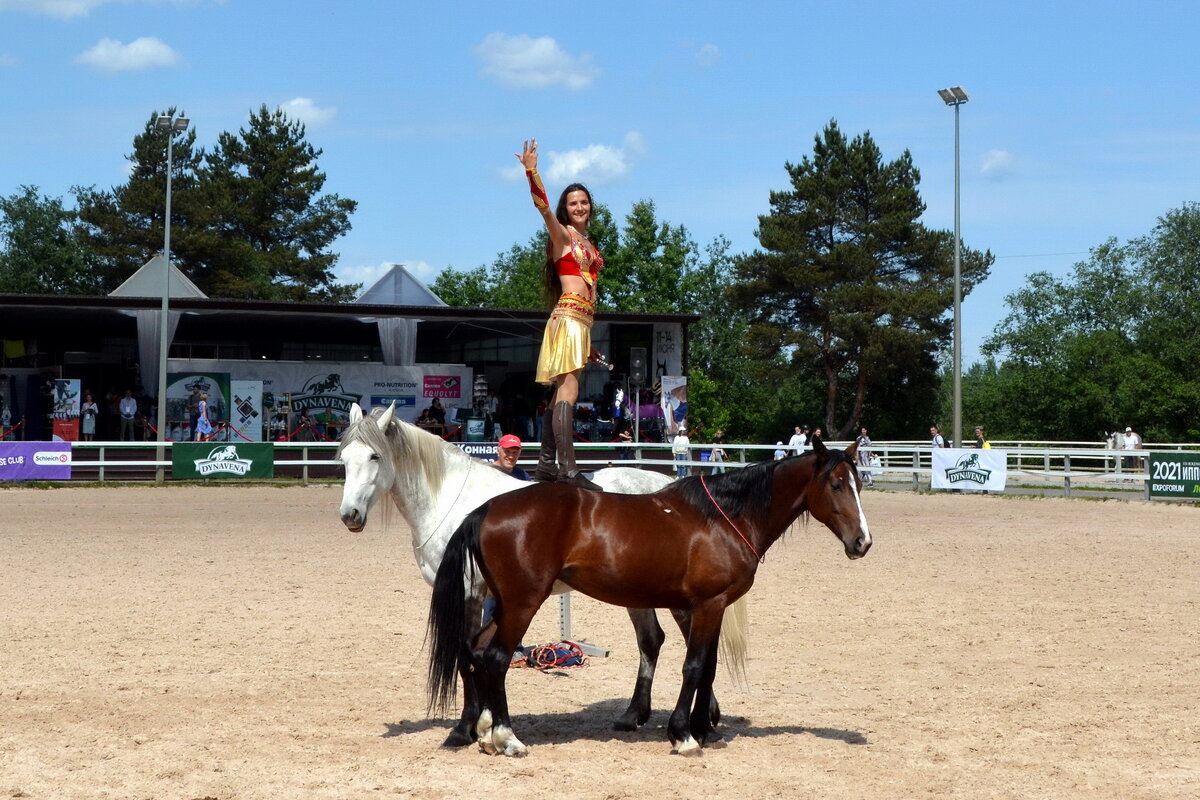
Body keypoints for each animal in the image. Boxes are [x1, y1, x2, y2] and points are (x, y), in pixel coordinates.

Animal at [338, 402, 739, 748]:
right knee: (652, 641)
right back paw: (635, 715)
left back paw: (704, 719)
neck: (455, 500)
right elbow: (475, 655)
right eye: (343, 459)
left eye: (375, 456)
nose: (349, 515)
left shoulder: (469, 592)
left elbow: (466, 658)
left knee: (695, 645)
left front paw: (465, 729)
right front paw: (483, 725)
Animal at [424, 438, 873, 758]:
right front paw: (683, 735)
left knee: (477, 652)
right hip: (522, 604)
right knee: (497, 658)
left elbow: (708, 665)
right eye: (836, 484)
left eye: (859, 484)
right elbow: (695, 666)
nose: (862, 542)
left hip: (505, 605)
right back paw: (507, 738)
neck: (724, 517)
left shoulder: (709, 607)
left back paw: (484, 733)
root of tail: (485, 510)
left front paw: (703, 727)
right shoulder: (709, 604)